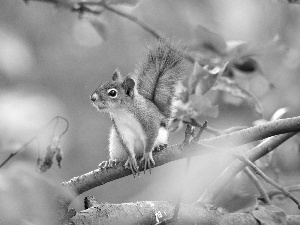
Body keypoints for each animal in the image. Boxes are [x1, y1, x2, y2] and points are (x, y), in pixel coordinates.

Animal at [90, 40, 186, 174]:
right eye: (102, 85)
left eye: (112, 93)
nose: (93, 98)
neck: (122, 111)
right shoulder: (121, 129)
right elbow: (128, 146)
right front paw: (131, 159)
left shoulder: (149, 121)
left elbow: (150, 138)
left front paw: (147, 155)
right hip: (115, 143)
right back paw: (110, 162)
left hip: (161, 134)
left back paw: (159, 146)